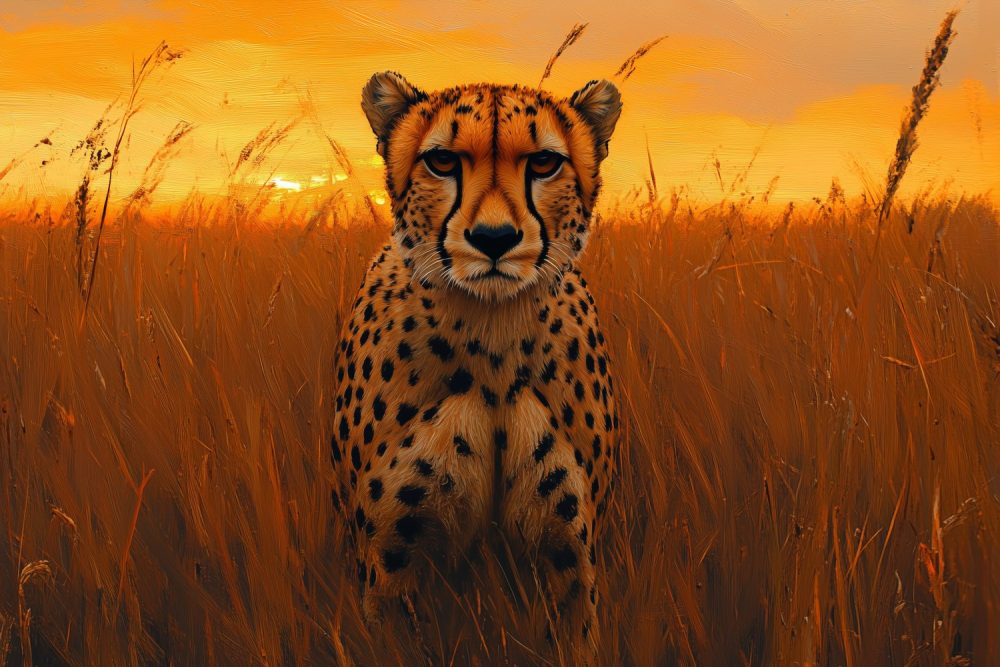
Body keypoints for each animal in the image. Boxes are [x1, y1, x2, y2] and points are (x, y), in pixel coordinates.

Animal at [330, 70, 622, 663]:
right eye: (442, 161)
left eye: (543, 163)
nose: (494, 239)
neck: (493, 344)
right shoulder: (390, 561)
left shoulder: (567, 556)